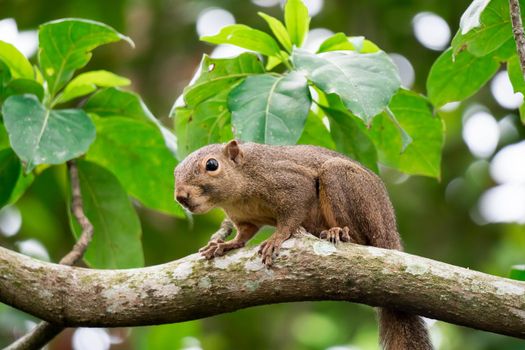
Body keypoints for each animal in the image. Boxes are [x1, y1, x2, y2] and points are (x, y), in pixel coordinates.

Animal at [174, 140, 432, 350]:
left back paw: (340, 232)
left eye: (212, 165)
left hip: (345, 184)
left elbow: (291, 215)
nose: (180, 197)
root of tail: (389, 229)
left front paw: (277, 238)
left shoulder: (289, 181)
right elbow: (243, 235)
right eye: (175, 172)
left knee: (362, 238)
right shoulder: (244, 218)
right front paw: (224, 245)